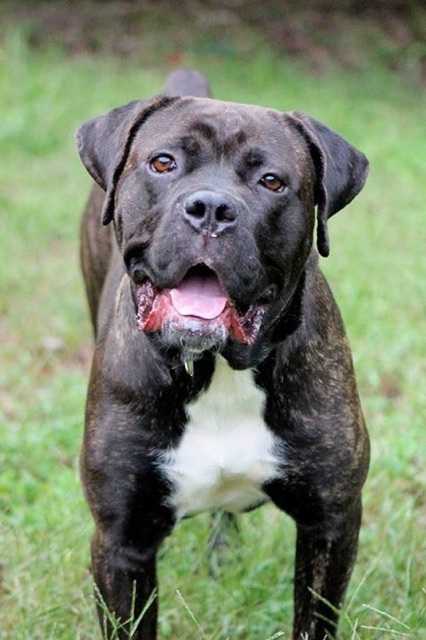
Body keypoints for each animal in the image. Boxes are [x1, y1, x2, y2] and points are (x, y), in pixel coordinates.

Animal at [77, 69, 370, 639]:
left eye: (272, 182)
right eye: (163, 163)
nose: (211, 208)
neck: (215, 370)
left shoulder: (331, 524)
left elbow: (313, 620)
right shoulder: (121, 544)